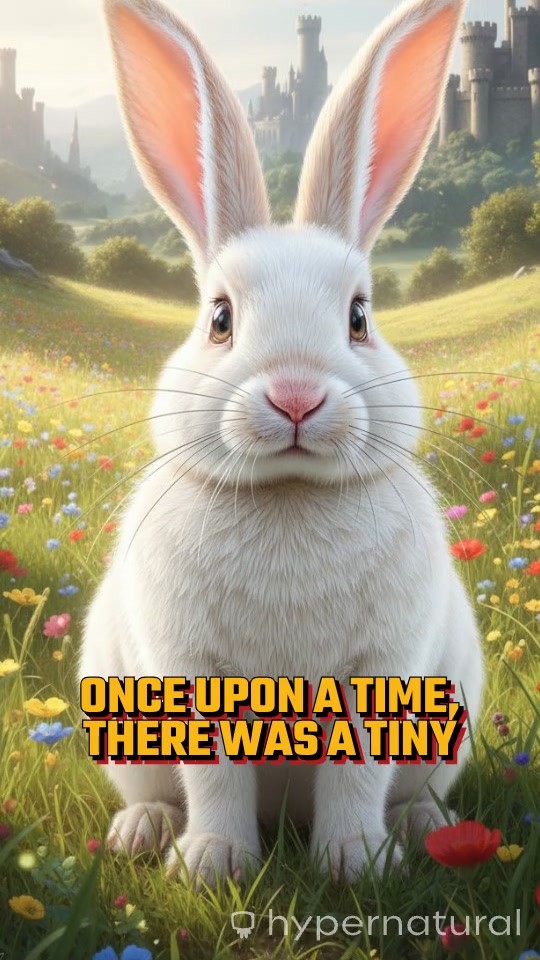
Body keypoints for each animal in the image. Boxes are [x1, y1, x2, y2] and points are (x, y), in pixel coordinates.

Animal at [79, 0, 484, 885]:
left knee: (411, 792)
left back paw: (427, 827)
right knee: (153, 792)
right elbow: (215, 774)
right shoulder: (190, 674)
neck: (290, 495)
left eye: (360, 317)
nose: (297, 397)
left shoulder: (381, 673)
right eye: (220, 319)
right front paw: (212, 865)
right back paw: (144, 832)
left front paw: (356, 865)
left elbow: (356, 771)